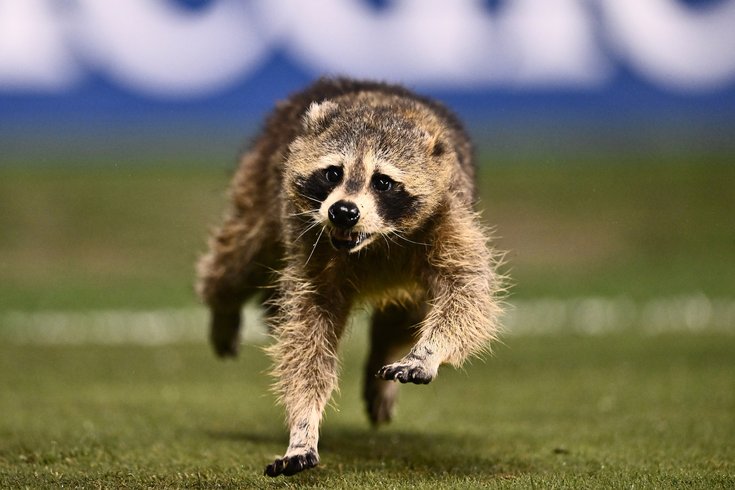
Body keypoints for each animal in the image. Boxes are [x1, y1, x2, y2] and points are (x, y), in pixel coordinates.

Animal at [197, 78, 506, 476]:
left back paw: (385, 355)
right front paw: (303, 425)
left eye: (383, 182)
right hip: (261, 185)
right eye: (333, 173)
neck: (371, 242)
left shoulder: (448, 215)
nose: (343, 212)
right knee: (238, 258)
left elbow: (467, 294)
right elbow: (306, 337)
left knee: (407, 315)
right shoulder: (309, 247)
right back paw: (222, 308)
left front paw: (428, 352)